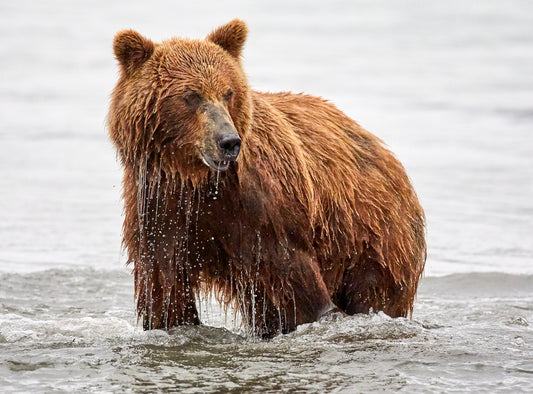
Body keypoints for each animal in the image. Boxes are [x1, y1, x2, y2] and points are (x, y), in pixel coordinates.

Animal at [107, 19, 424, 338]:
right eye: (192, 95)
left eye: (228, 92)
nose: (229, 141)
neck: (199, 181)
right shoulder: (161, 209)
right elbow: (166, 288)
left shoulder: (263, 212)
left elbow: (295, 284)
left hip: (372, 236)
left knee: (373, 292)